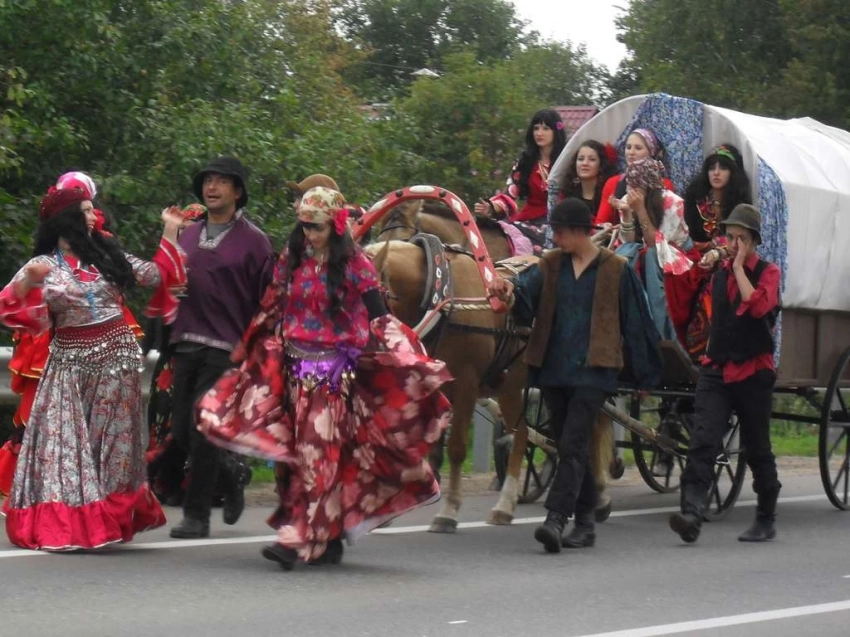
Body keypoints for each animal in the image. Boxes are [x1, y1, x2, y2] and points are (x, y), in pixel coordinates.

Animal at [365, 239, 615, 532]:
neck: (442, 300)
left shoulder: (466, 383)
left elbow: (456, 448)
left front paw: (448, 511)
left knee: (589, 429)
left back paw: (597, 496)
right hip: (511, 387)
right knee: (523, 434)